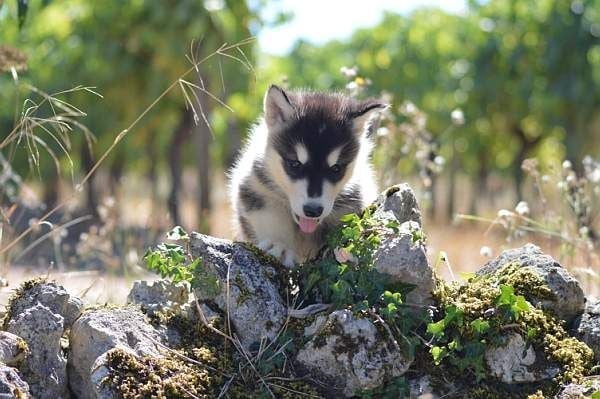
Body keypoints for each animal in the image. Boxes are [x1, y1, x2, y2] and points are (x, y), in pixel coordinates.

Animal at [227, 85, 386, 268]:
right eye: (295, 164)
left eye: (336, 168)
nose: (313, 210)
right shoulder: (256, 188)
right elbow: (270, 215)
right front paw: (279, 245)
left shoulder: (353, 200)